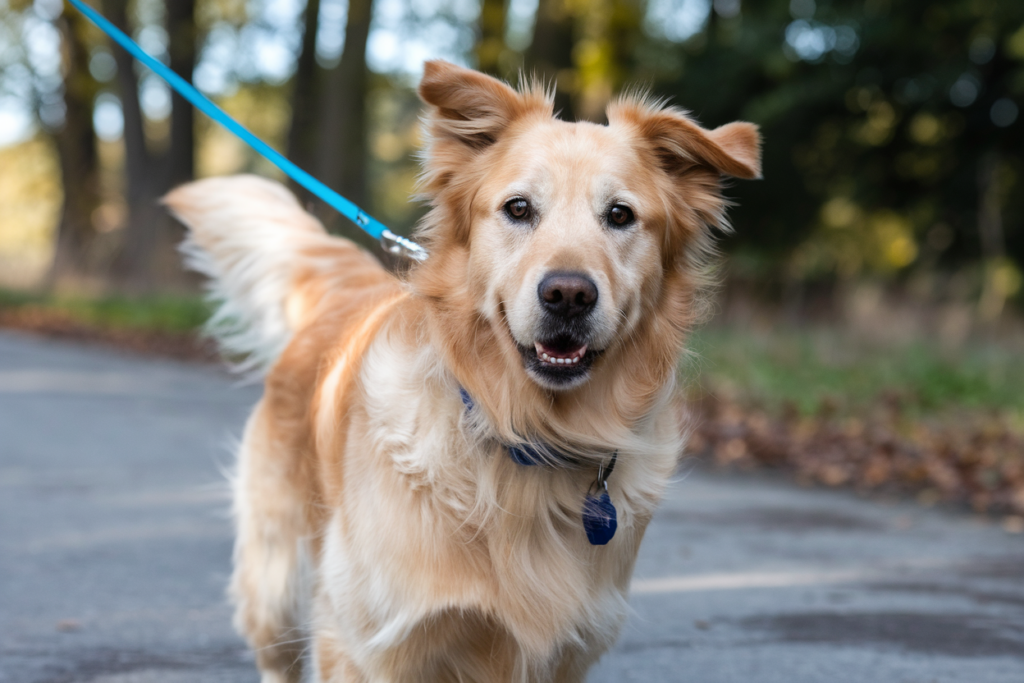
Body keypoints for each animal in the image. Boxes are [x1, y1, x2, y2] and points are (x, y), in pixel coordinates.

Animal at [163, 60, 761, 683]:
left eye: (620, 215)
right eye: (518, 208)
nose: (568, 295)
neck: (527, 435)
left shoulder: (564, 652)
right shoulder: (369, 643)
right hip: (276, 585)